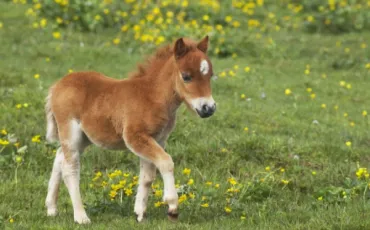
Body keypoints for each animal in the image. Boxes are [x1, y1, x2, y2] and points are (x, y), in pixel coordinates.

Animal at [43, 36, 217, 225]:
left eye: (210, 76)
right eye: (186, 76)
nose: (208, 108)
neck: (152, 96)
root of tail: (57, 86)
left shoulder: (158, 139)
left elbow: (147, 176)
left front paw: (140, 213)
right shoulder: (135, 136)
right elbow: (166, 162)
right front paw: (172, 207)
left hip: (84, 137)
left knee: (59, 157)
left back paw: (51, 208)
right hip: (70, 131)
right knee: (70, 169)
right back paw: (81, 217)